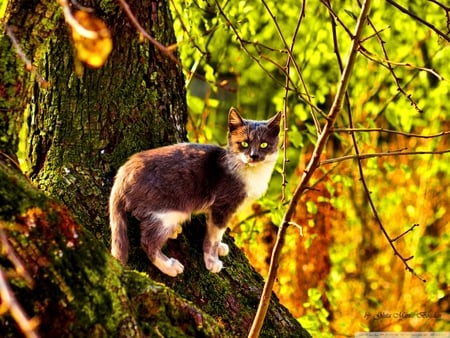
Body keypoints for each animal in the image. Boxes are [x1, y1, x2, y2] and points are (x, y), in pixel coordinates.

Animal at [109, 108, 280, 278]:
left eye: (264, 144)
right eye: (244, 143)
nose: (253, 156)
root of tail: (124, 171)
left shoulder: (215, 209)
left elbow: (214, 230)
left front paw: (220, 247)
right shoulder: (223, 206)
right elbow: (214, 235)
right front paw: (212, 261)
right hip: (166, 212)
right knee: (147, 241)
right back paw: (169, 266)